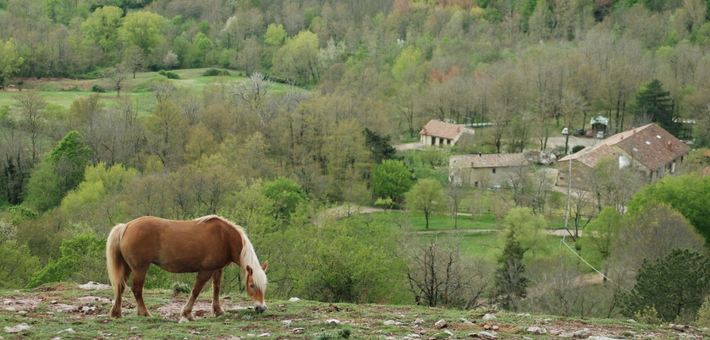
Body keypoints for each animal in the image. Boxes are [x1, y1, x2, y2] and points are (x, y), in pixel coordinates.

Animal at [106, 216, 270, 320]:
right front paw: (187, 313)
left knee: (120, 287)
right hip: (140, 268)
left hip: (128, 268)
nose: (261, 308)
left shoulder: (217, 269)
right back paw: (144, 313)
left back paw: (117, 313)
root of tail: (126, 226)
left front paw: (218, 310)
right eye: (252, 285)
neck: (225, 237)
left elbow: (216, 289)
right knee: (136, 289)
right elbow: (196, 291)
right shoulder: (206, 270)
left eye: (265, 285)